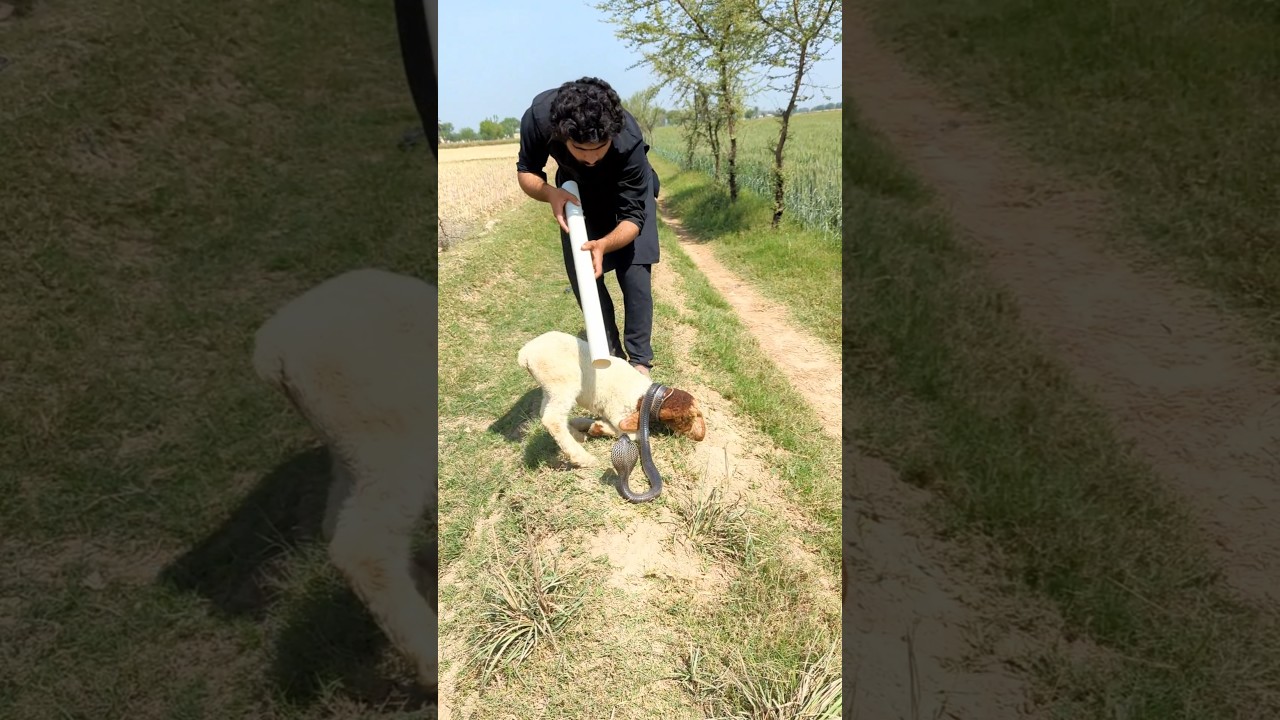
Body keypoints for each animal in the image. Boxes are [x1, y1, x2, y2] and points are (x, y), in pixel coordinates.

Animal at [251, 268, 438, 692]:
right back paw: (430, 660)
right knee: (363, 547)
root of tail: (275, 349)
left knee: (335, 522)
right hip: (385, 435)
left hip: (350, 449)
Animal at [517, 330, 707, 468]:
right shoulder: (619, 413)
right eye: (688, 418)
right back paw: (583, 458)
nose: (696, 437)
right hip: (563, 383)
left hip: (550, 389)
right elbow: (631, 433)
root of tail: (525, 354)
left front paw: (587, 425)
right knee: (552, 419)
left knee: (547, 414)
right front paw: (598, 428)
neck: (645, 397)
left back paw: (577, 435)